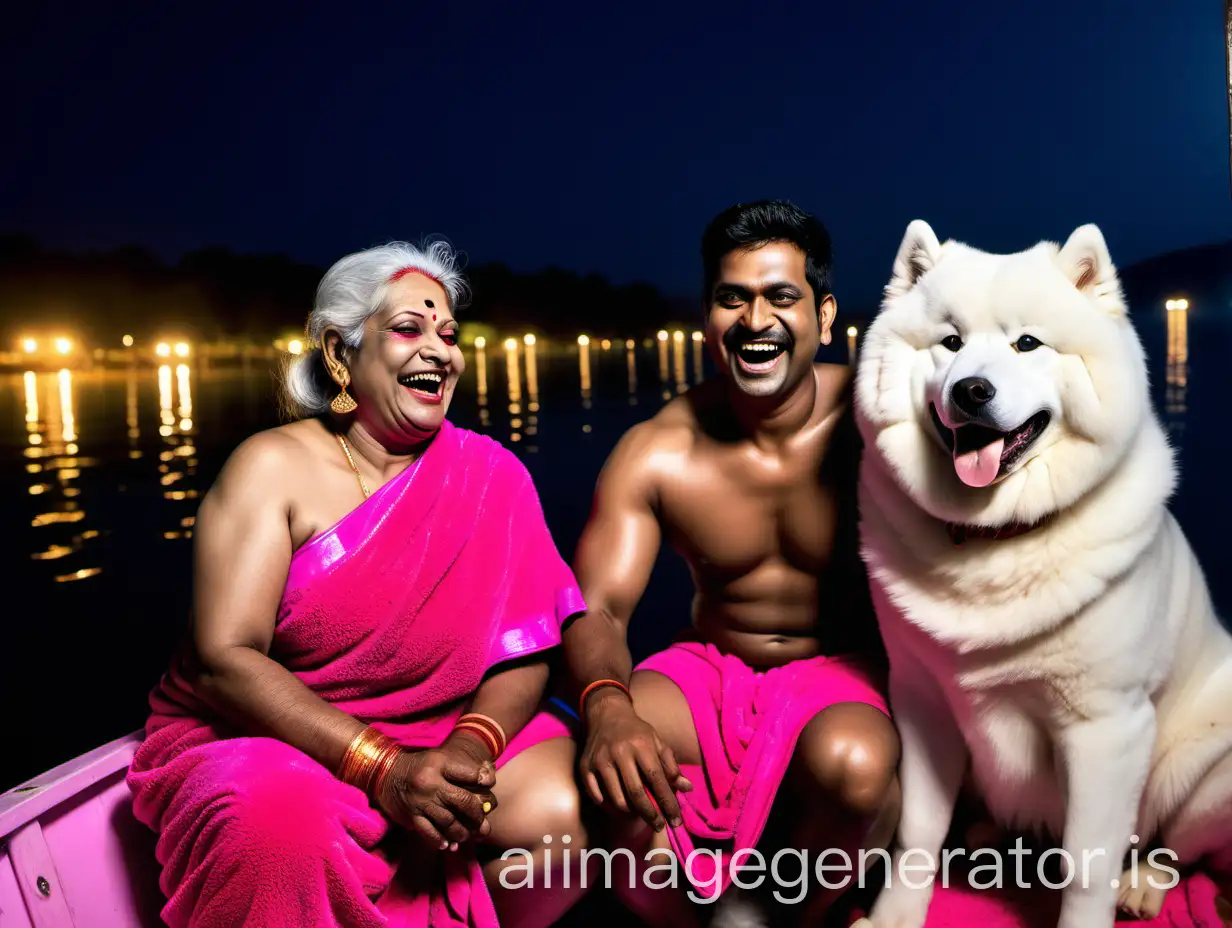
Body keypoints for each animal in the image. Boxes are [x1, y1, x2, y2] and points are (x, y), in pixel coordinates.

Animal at [852, 219, 1227, 926]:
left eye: (1027, 344)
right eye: (950, 342)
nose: (971, 390)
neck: (994, 535)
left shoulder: (1106, 731)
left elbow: (1088, 866)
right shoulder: (920, 703)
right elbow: (917, 832)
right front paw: (895, 915)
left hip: (1207, 769)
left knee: (1175, 845)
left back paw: (1146, 882)